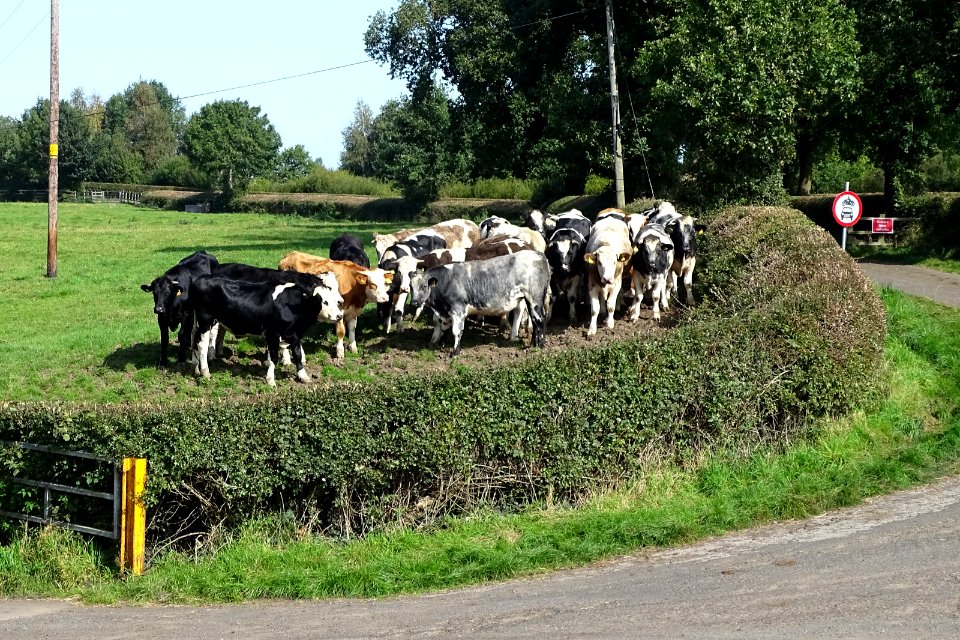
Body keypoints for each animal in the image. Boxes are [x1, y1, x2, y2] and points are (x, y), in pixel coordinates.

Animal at [189, 270, 344, 384]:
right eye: (324, 301)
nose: (339, 316)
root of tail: (202, 278)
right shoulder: (273, 334)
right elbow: (274, 357)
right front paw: (270, 379)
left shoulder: (294, 334)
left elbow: (298, 355)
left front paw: (303, 376)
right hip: (206, 322)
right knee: (202, 345)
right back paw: (205, 372)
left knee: (194, 341)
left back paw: (195, 368)